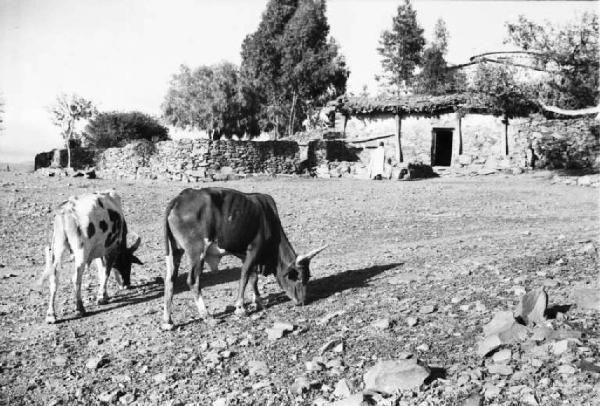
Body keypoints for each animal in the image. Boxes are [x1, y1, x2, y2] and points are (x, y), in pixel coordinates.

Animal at [39, 191, 143, 324]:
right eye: (128, 262)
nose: (127, 284)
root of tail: (66, 210)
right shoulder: (111, 249)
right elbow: (106, 272)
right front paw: (102, 297)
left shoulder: (99, 251)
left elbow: (101, 271)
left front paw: (105, 294)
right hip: (81, 252)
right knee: (76, 278)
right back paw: (80, 308)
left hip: (57, 248)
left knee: (54, 278)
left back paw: (51, 315)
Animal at [162, 187, 326, 330]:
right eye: (297, 277)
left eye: (308, 277)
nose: (302, 302)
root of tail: (180, 198)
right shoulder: (254, 249)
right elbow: (245, 275)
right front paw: (240, 308)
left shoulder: (244, 254)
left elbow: (253, 277)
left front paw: (258, 300)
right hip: (197, 252)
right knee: (193, 281)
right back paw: (207, 316)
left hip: (174, 251)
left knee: (170, 280)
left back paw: (168, 321)